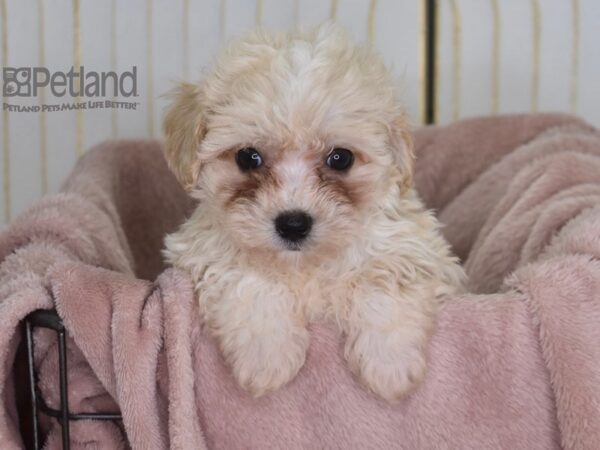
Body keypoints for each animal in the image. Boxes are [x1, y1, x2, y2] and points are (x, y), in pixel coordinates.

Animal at [161, 23, 464, 400]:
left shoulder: (414, 248)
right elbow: (248, 279)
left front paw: (389, 367)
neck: (305, 265)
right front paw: (266, 360)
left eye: (341, 158)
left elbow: (385, 277)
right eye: (247, 157)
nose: (293, 224)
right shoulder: (207, 251)